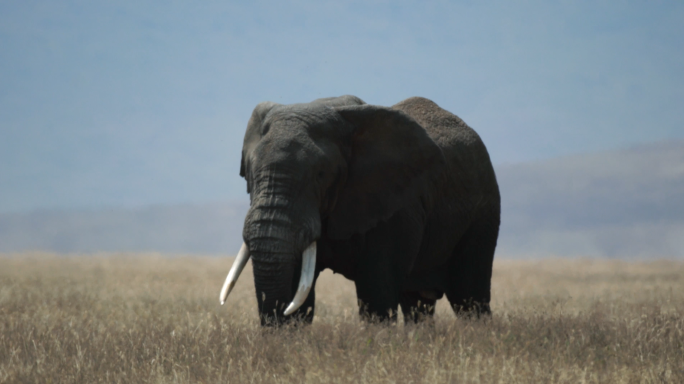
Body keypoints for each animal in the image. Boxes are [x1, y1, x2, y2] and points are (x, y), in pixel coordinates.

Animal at [222, 94, 500, 326]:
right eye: (250, 173)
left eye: (320, 175)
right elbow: (296, 288)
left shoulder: (393, 205)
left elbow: (376, 294)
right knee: (418, 304)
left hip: (484, 211)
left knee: (470, 298)